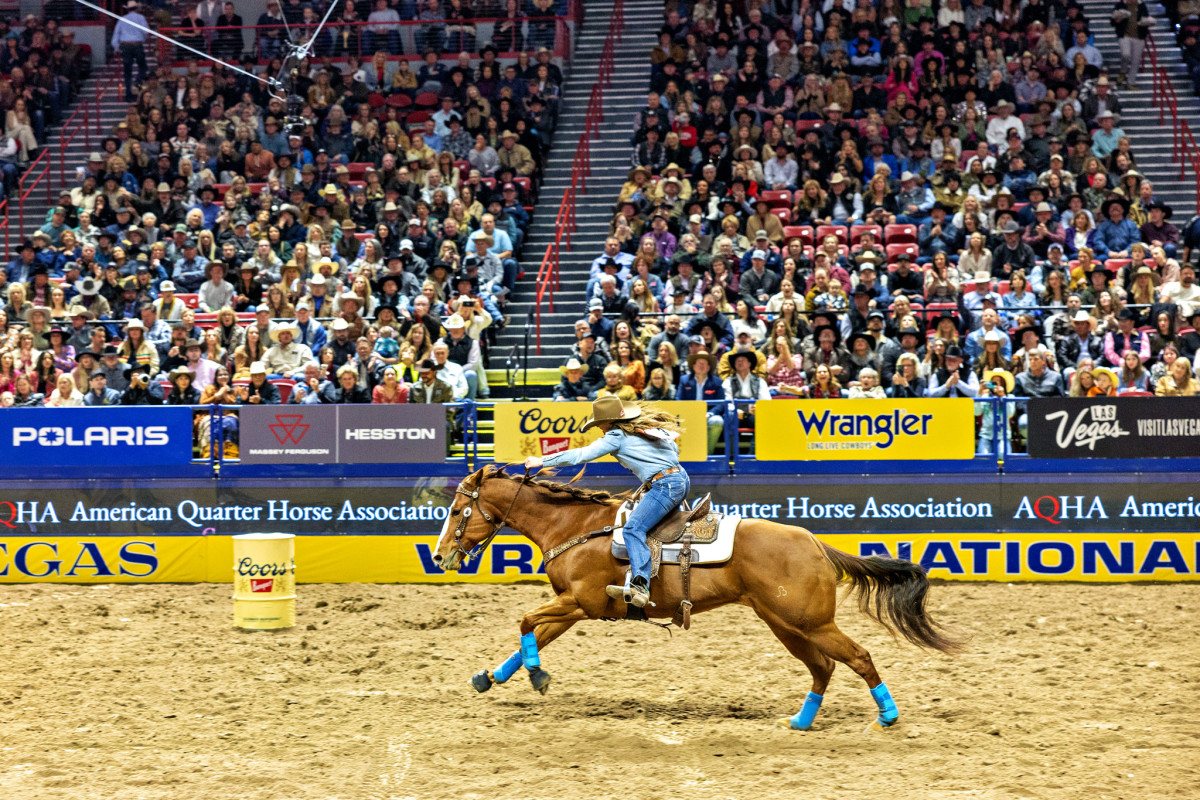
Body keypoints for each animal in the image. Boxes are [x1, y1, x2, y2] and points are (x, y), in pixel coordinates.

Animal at [436, 462, 960, 734]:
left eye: (460, 510)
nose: (441, 555)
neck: (578, 528)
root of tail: (815, 544)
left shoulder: (581, 603)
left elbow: (526, 622)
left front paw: (538, 677)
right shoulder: (575, 606)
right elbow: (533, 633)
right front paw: (490, 676)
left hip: (809, 621)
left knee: (858, 656)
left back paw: (888, 715)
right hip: (785, 623)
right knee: (824, 666)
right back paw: (800, 720)